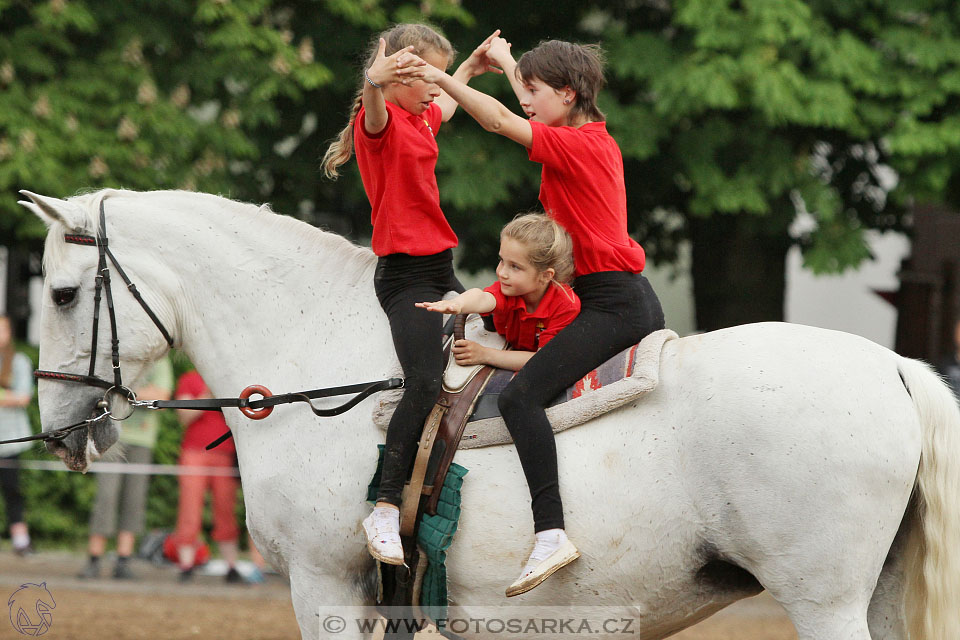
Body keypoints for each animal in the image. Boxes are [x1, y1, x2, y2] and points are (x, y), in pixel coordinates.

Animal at [18, 189, 960, 640]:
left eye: (61, 293)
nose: (59, 426)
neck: (317, 360)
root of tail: (896, 367)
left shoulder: (324, 585)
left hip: (824, 602)